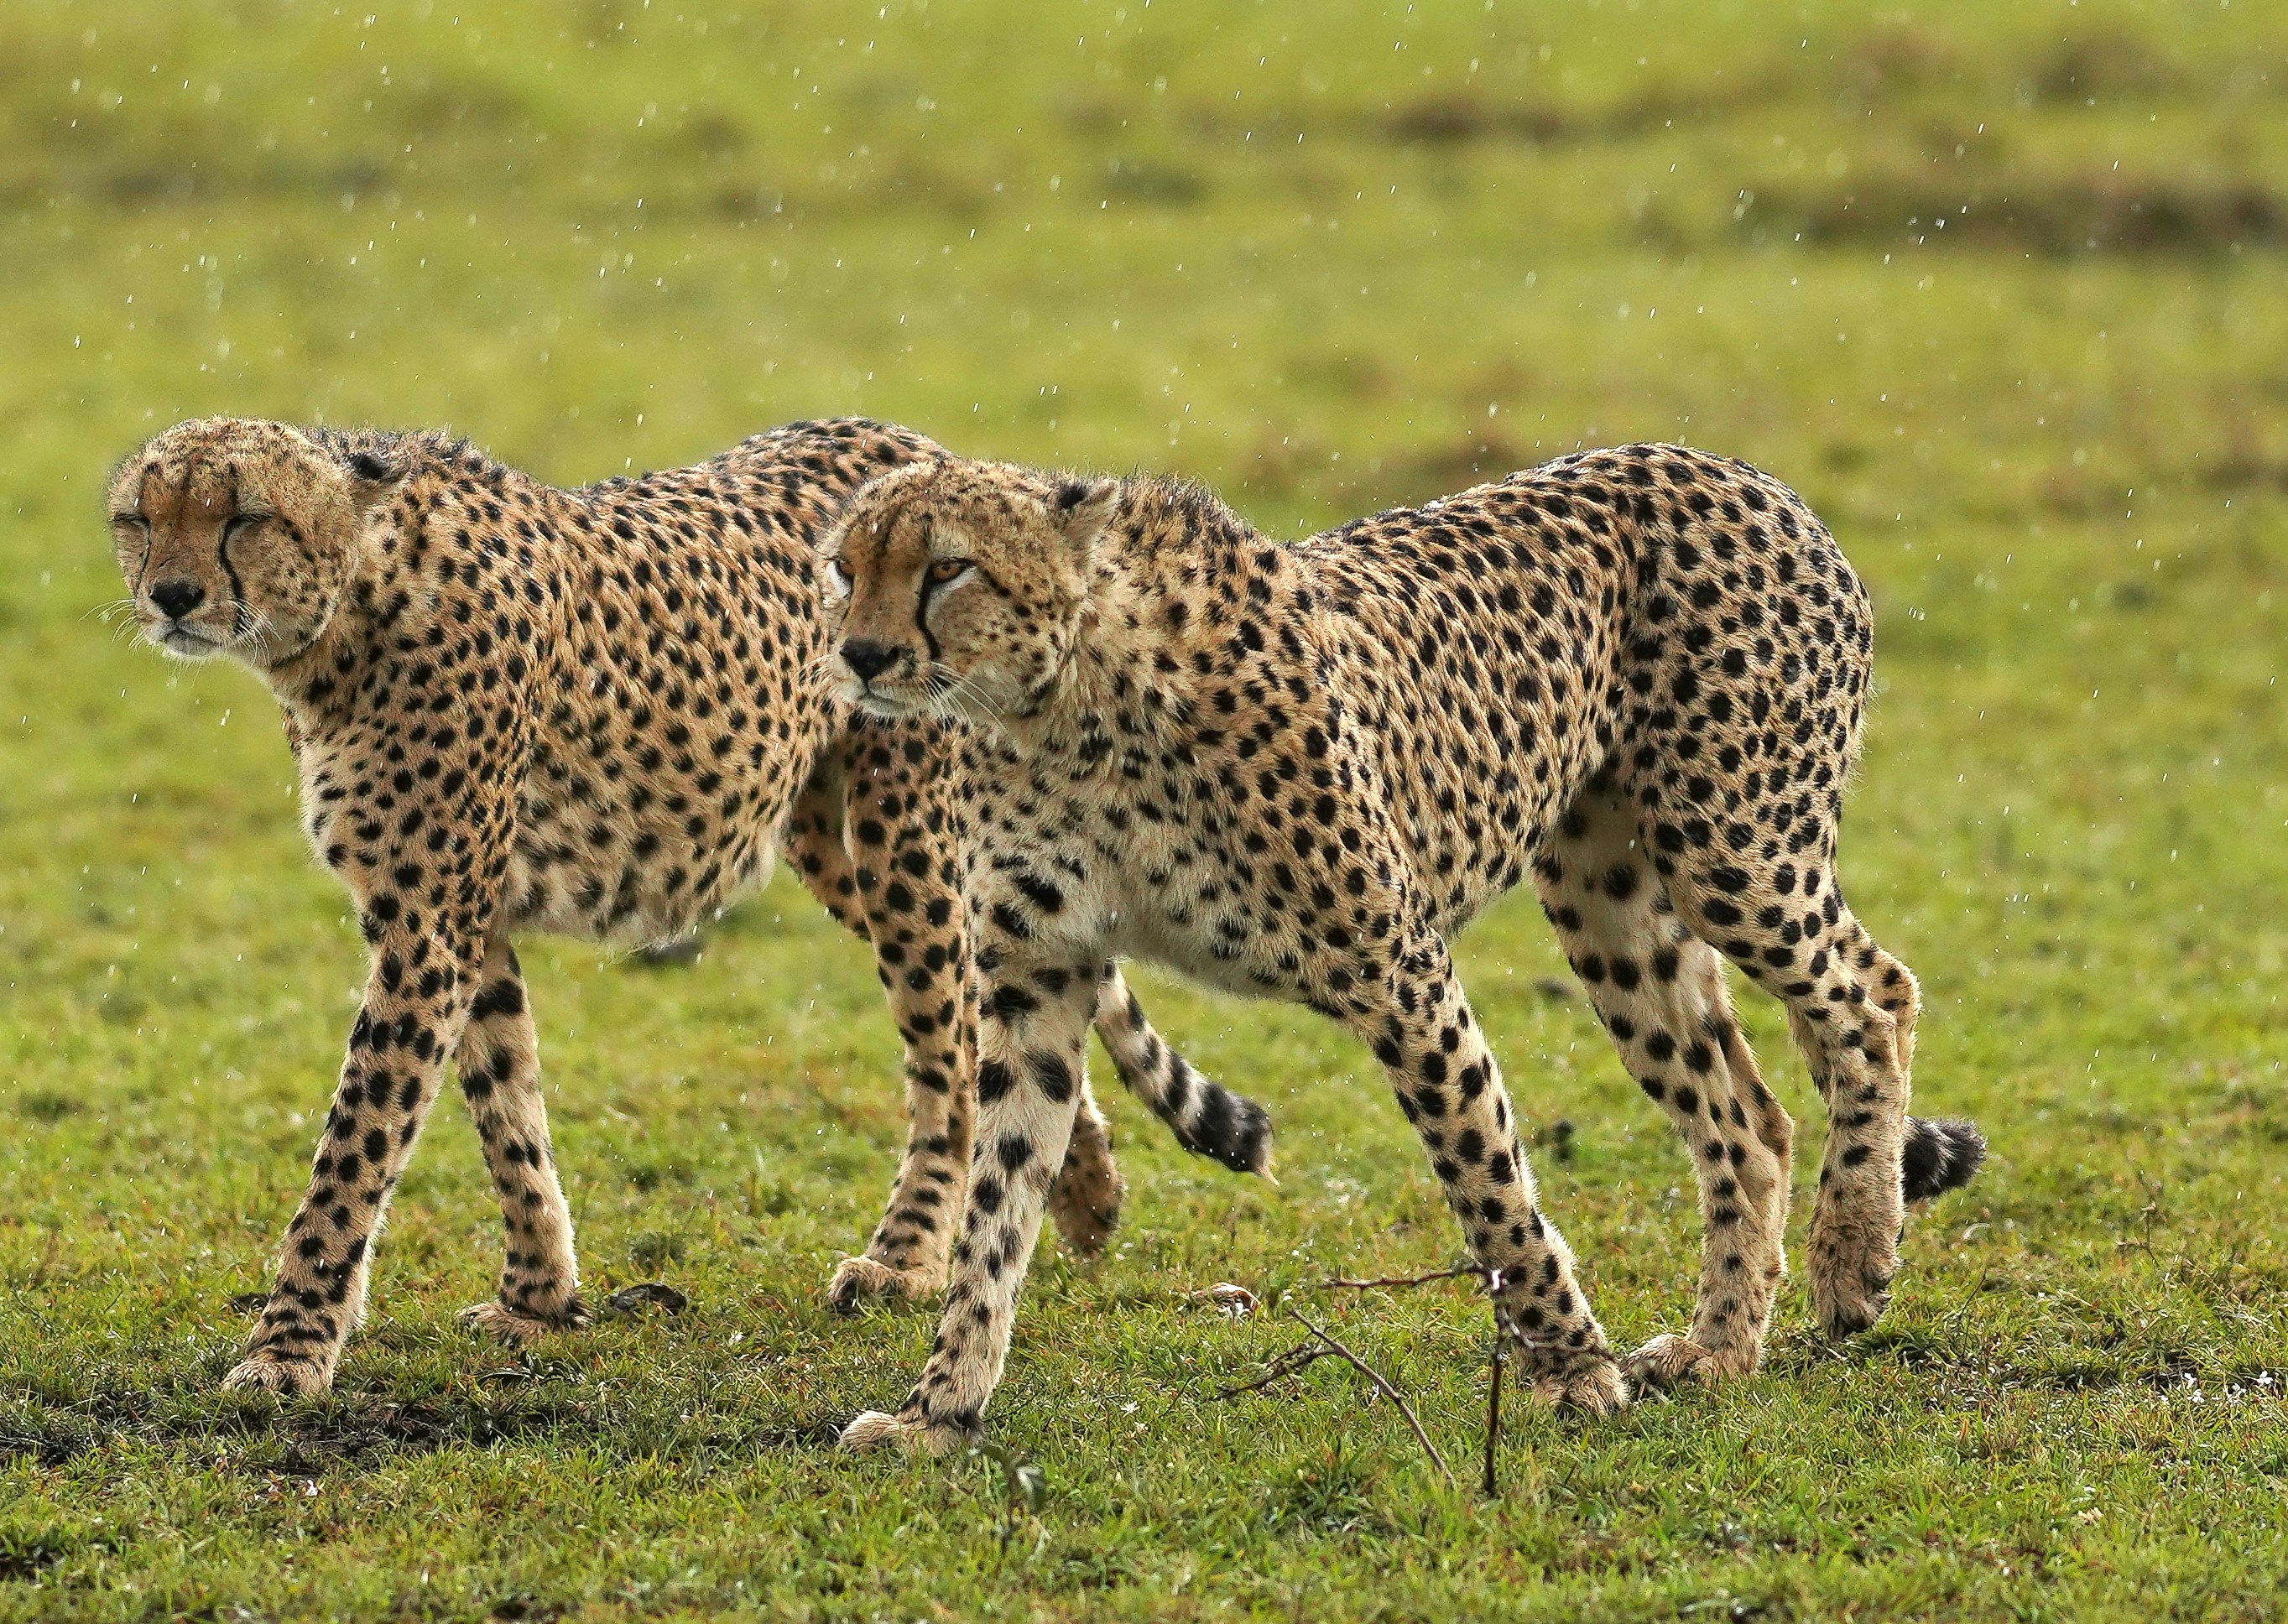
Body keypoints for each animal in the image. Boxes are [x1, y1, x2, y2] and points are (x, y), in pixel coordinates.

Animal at [103, 415, 1273, 1398]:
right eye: (140, 519)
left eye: (243, 515)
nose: (170, 595)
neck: (347, 608)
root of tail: (930, 448)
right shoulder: (455, 915)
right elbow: (507, 1107)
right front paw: (539, 1298)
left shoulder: (428, 923)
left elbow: (355, 1147)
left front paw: (288, 1347)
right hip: (830, 846)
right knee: (1001, 1008)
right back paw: (1086, 1184)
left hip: (907, 847)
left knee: (947, 1053)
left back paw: (906, 1258)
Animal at [814, 443, 1985, 1454]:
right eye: (843, 567)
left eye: (948, 567)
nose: (860, 655)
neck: (1058, 702)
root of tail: (1743, 473)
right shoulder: (1038, 981)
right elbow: (996, 1205)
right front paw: (938, 1411)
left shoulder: (1393, 962)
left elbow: (1488, 1178)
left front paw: (1570, 1369)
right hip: (1610, 905)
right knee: (1750, 1118)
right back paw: (1721, 1347)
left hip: (1731, 851)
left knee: (1875, 994)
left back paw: (1855, 1260)